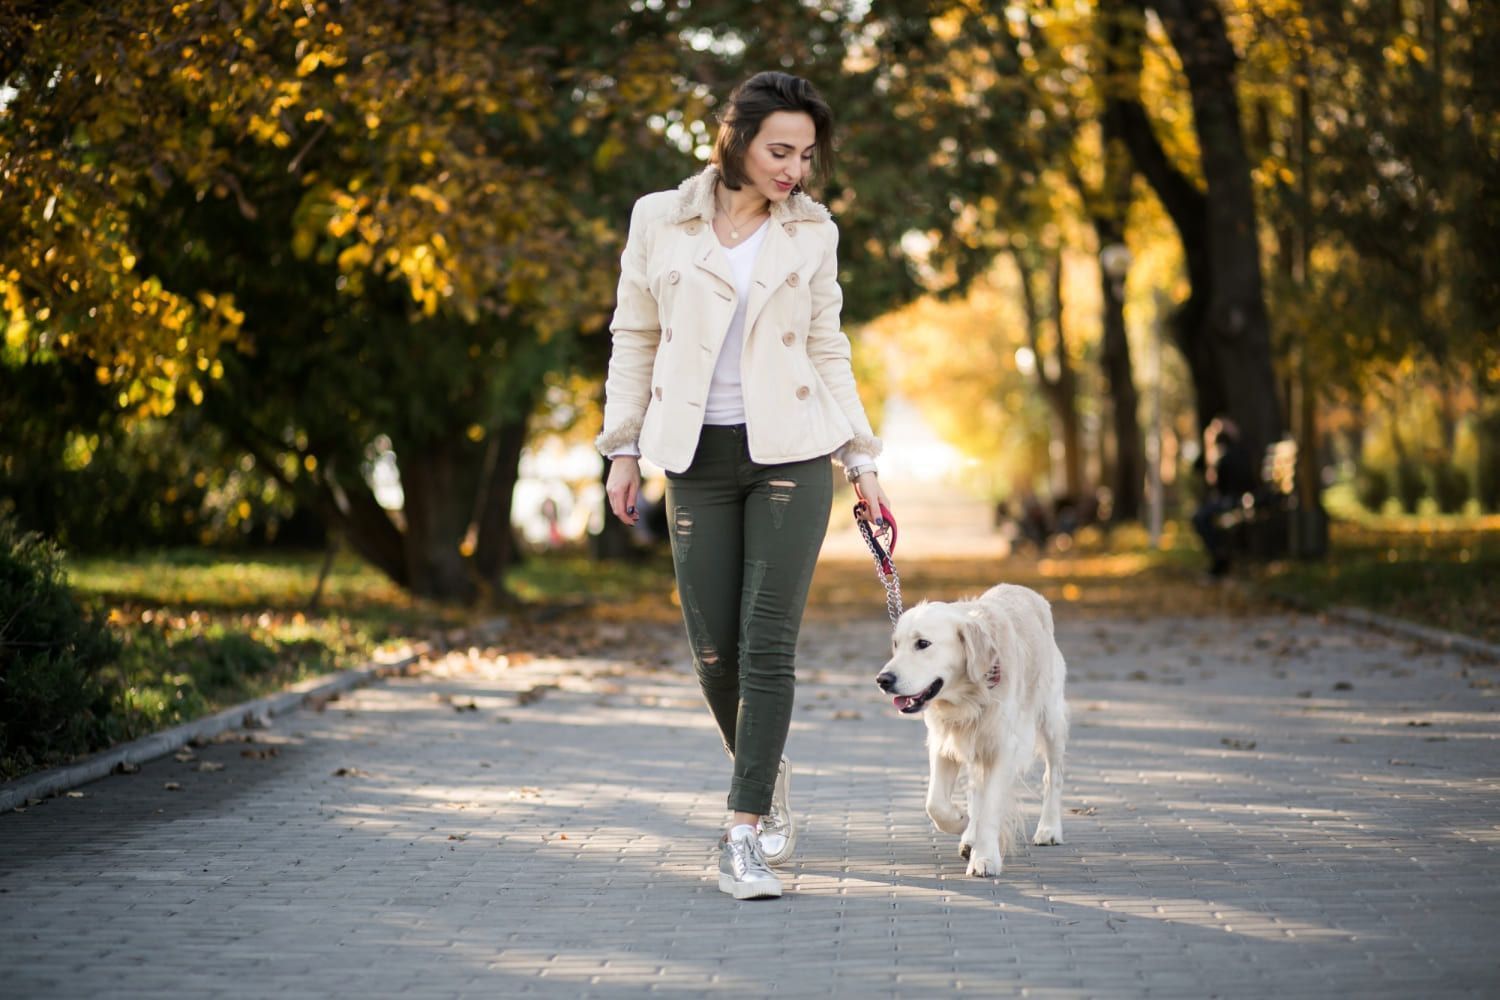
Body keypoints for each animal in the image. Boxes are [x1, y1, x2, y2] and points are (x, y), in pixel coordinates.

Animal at [876, 581, 1074, 881]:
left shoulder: (1003, 747)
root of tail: (1026, 590)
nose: (883, 680)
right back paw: (969, 835)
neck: (968, 697)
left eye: (923, 644)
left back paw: (1049, 829)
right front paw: (962, 822)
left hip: (1050, 719)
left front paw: (985, 858)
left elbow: (991, 807)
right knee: (974, 790)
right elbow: (935, 803)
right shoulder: (943, 742)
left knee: (1054, 776)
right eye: (896, 645)